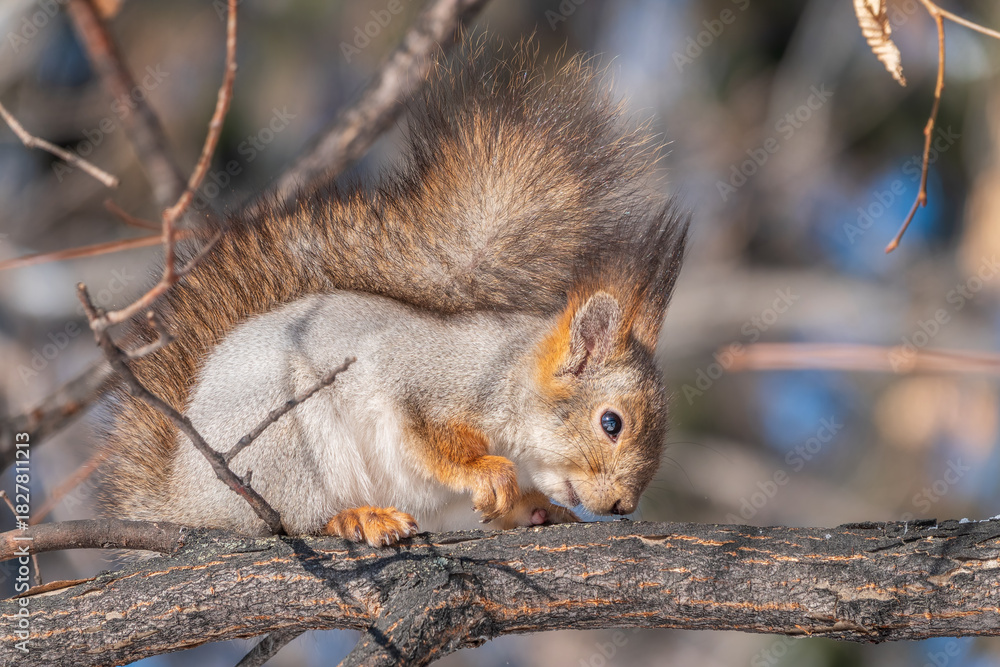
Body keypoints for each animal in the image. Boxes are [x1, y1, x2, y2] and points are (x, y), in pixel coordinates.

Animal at [96, 39, 689, 547]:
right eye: (611, 423)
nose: (621, 506)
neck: (509, 380)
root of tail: (184, 500)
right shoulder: (417, 378)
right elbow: (429, 440)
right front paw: (486, 471)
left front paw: (534, 507)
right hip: (286, 445)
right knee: (292, 519)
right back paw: (357, 517)